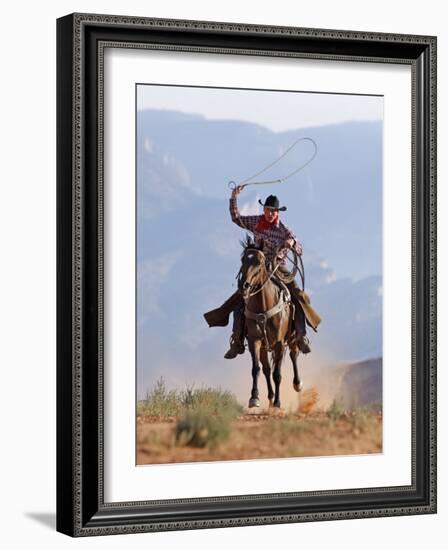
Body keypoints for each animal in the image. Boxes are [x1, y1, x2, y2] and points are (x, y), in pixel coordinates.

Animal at [236, 235, 302, 412]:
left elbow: (277, 374)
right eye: (243, 259)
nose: (244, 286)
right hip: (265, 347)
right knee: (266, 369)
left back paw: (297, 384)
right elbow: (256, 369)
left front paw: (278, 402)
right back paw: (270, 397)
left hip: (291, 339)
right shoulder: (255, 341)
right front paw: (254, 398)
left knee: (294, 355)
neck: (263, 306)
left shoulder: (279, 343)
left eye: (259, 261)